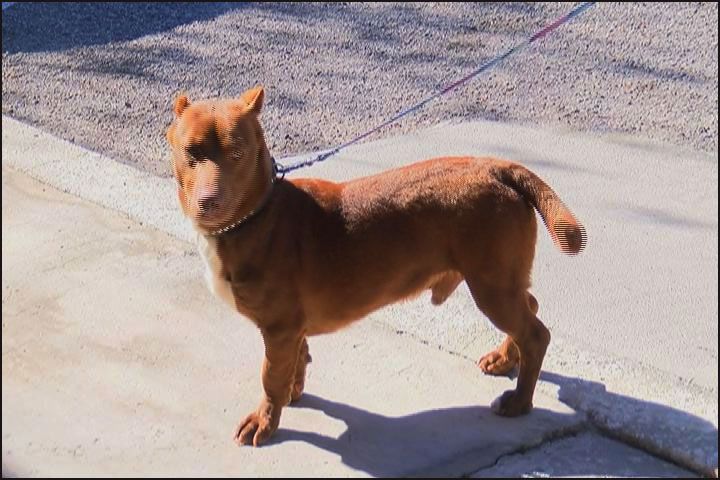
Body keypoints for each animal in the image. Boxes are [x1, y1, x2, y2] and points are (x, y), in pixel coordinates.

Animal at [167, 85, 584, 446]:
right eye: (190, 152)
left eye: (238, 153)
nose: (209, 203)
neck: (256, 213)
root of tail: (496, 166)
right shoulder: (292, 329)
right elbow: (297, 362)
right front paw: (293, 392)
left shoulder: (280, 328)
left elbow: (271, 377)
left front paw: (266, 420)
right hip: (502, 281)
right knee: (530, 308)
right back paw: (504, 358)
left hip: (491, 284)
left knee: (536, 334)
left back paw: (520, 402)